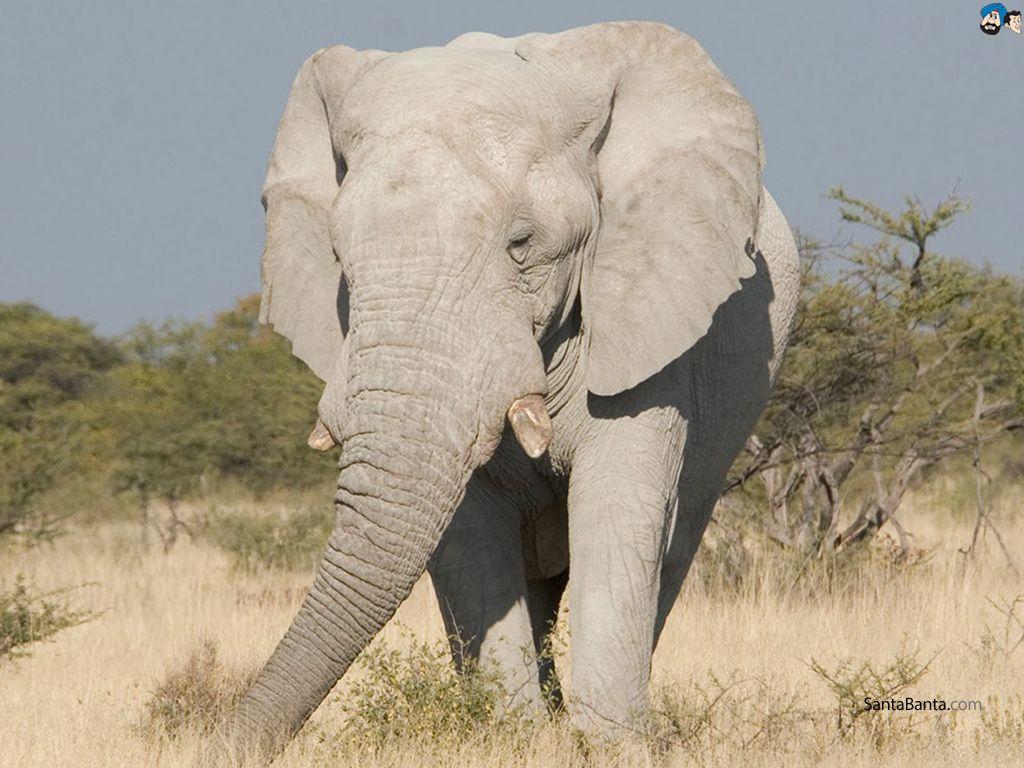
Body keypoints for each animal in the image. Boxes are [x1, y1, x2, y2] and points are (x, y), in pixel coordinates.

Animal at [222, 20, 800, 762]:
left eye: (522, 245)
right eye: (340, 258)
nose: (219, 741)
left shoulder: (651, 313)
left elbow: (619, 509)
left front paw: (608, 750)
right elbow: (470, 537)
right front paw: (515, 741)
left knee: (671, 546)